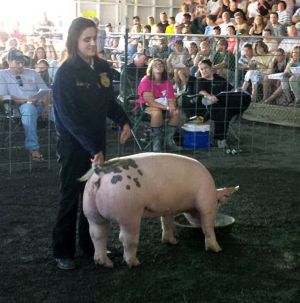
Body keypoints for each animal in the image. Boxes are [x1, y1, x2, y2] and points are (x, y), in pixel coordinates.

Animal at [81, 152, 238, 268]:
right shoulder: (206, 203)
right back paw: (134, 263)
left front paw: (172, 242)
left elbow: (167, 223)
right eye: (218, 203)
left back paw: (105, 263)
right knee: (126, 238)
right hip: (128, 213)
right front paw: (217, 249)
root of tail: (100, 170)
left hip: (91, 211)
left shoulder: (168, 208)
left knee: (97, 234)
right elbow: (207, 226)